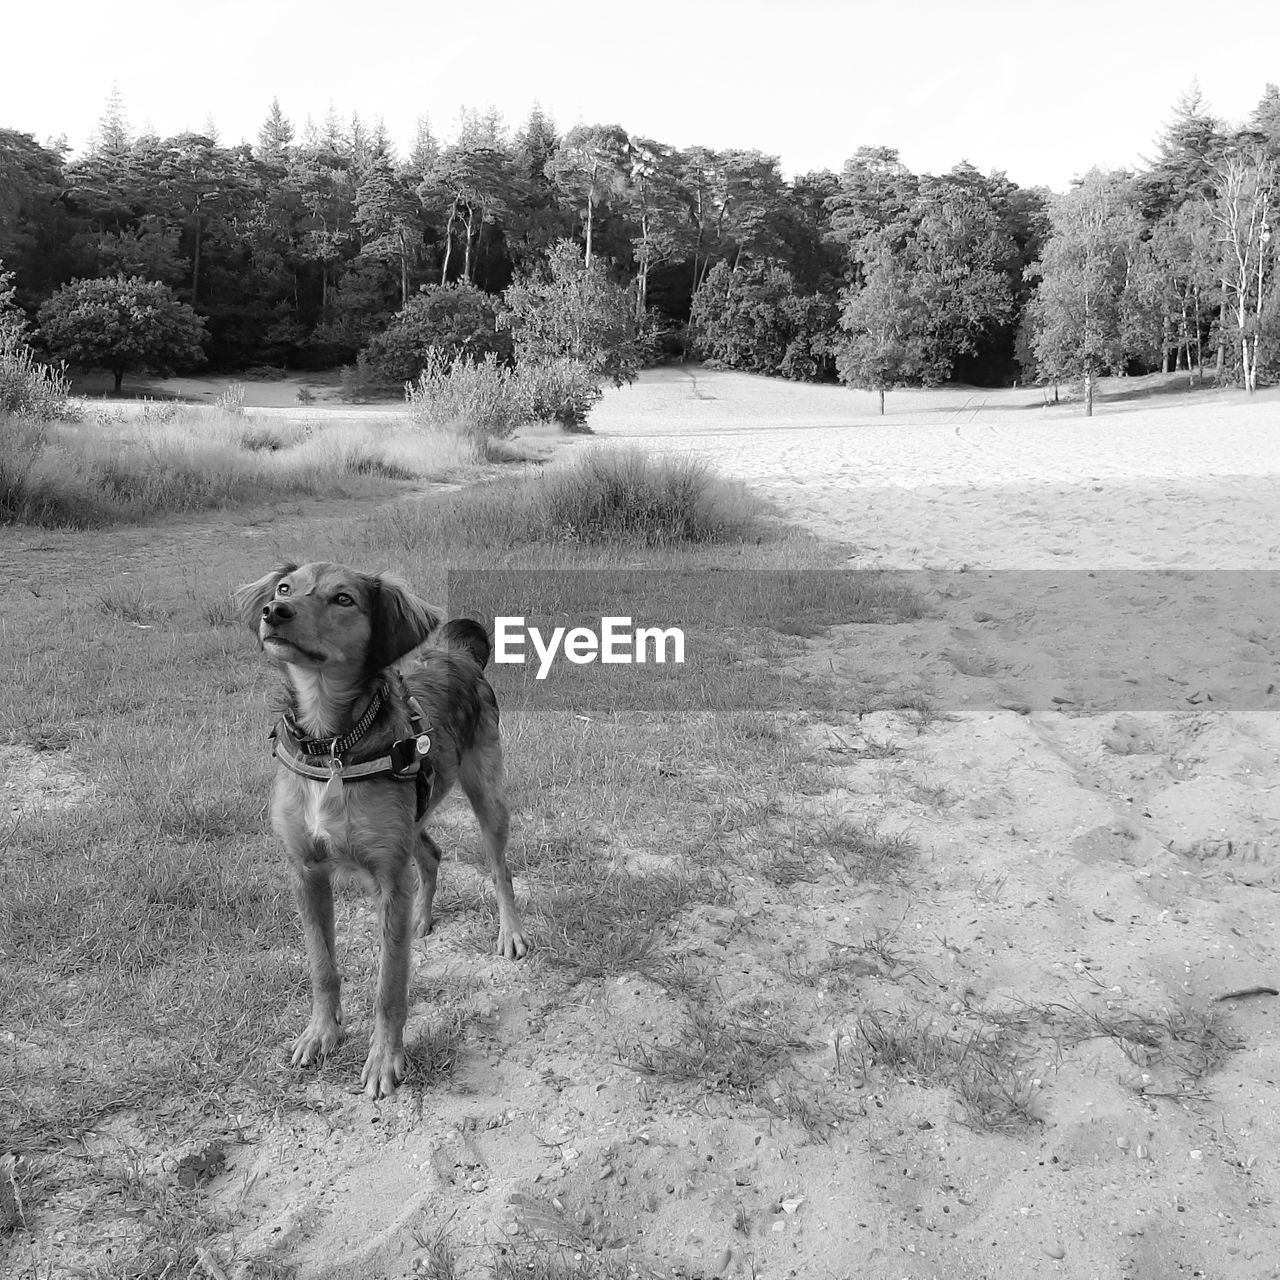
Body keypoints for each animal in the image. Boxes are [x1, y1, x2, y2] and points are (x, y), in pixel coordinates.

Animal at [232, 560, 527, 1100]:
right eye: (285, 587)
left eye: (343, 599)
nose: (274, 611)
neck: (331, 745)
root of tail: (457, 654)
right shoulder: (307, 871)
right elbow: (322, 966)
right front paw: (321, 1033)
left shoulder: (389, 879)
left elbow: (390, 985)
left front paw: (384, 1059)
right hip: (411, 820)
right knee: (431, 854)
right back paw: (422, 919)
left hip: (488, 794)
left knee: (500, 870)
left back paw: (511, 932)